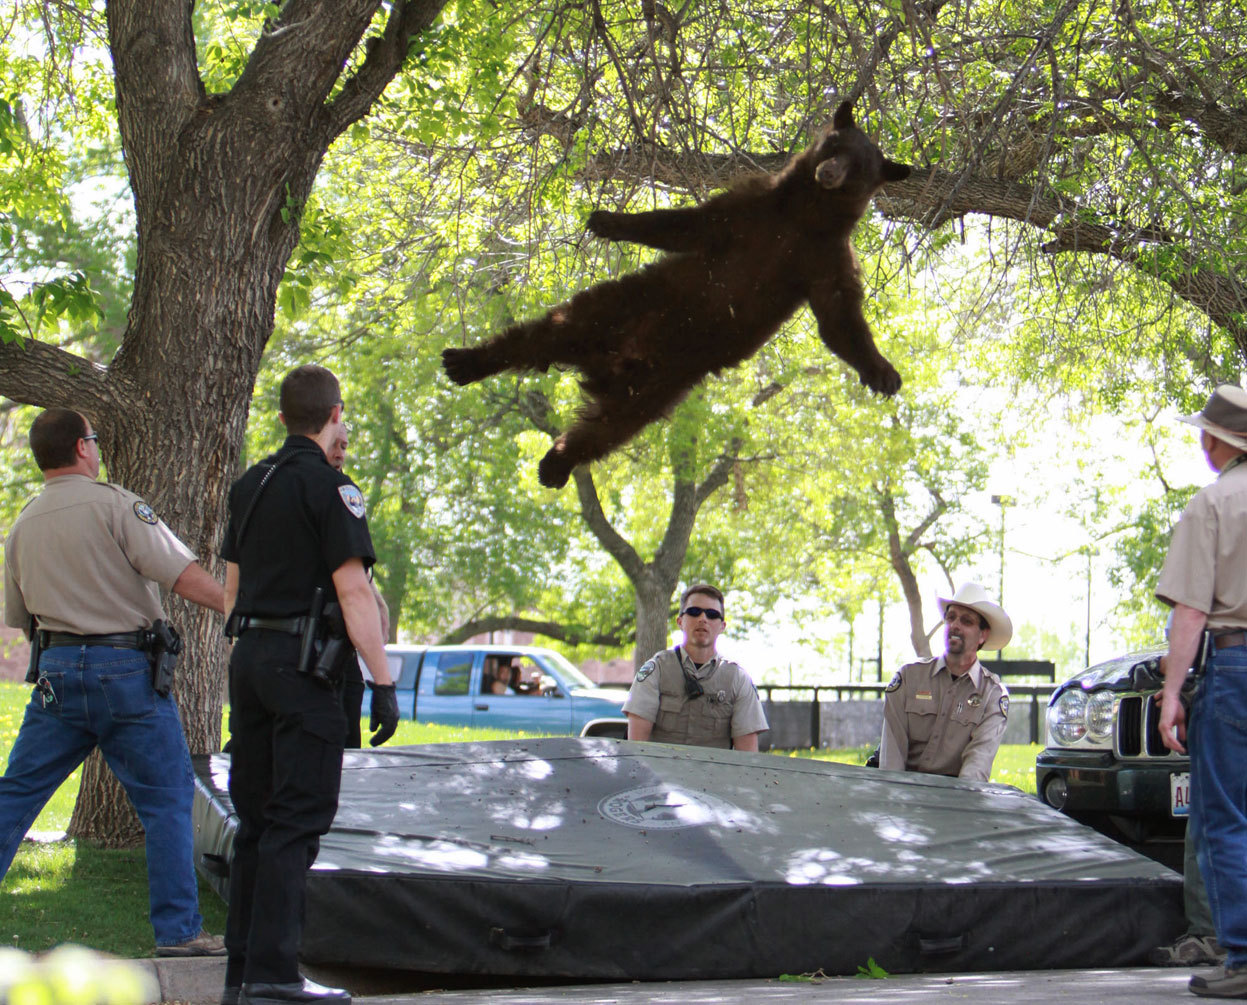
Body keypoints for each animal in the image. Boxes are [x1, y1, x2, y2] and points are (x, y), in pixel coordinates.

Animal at [443, 100, 912, 488]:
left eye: (859, 167)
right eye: (835, 144)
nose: (829, 172)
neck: (806, 214)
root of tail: (610, 364)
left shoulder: (825, 258)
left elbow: (839, 317)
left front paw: (883, 373)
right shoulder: (752, 210)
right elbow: (686, 224)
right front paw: (608, 220)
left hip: (658, 388)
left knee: (605, 429)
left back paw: (555, 464)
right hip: (618, 307)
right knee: (540, 335)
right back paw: (467, 361)